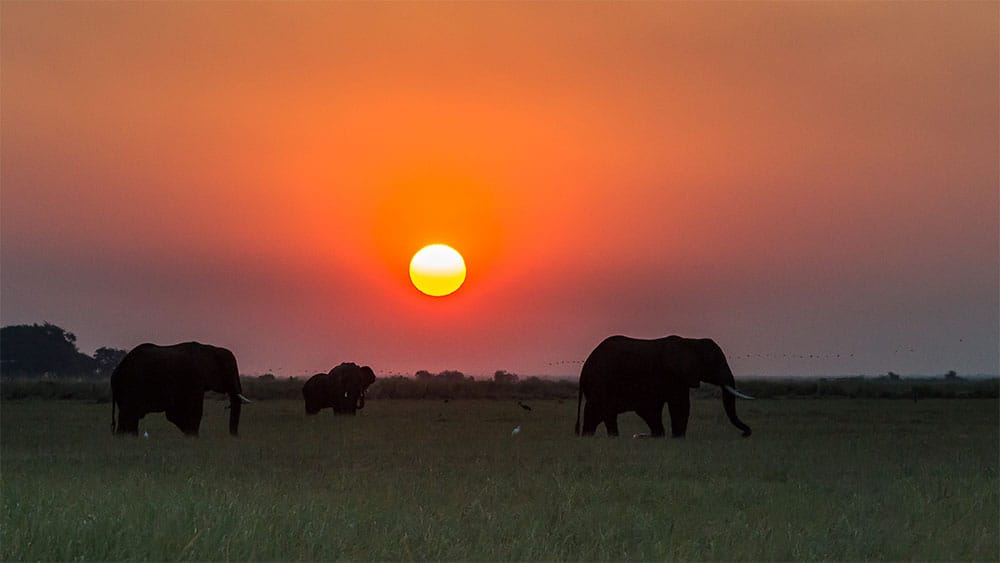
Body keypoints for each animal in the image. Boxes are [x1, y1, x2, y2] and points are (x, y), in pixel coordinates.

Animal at [110, 342, 251, 436]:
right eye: (228, 371)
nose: (234, 436)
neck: (210, 349)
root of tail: (117, 370)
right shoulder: (195, 378)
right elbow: (194, 409)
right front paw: (194, 437)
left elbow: (174, 413)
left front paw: (189, 434)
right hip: (132, 384)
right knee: (129, 413)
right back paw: (126, 438)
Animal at [575, 335, 753, 438]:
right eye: (715, 363)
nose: (745, 434)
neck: (691, 341)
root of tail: (585, 367)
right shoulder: (673, 375)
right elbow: (680, 405)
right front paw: (678, 438)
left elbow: (654, 409)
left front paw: (662, 436)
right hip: (601, 382)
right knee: (598, 410)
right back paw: (597, 437)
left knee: (603, 413)